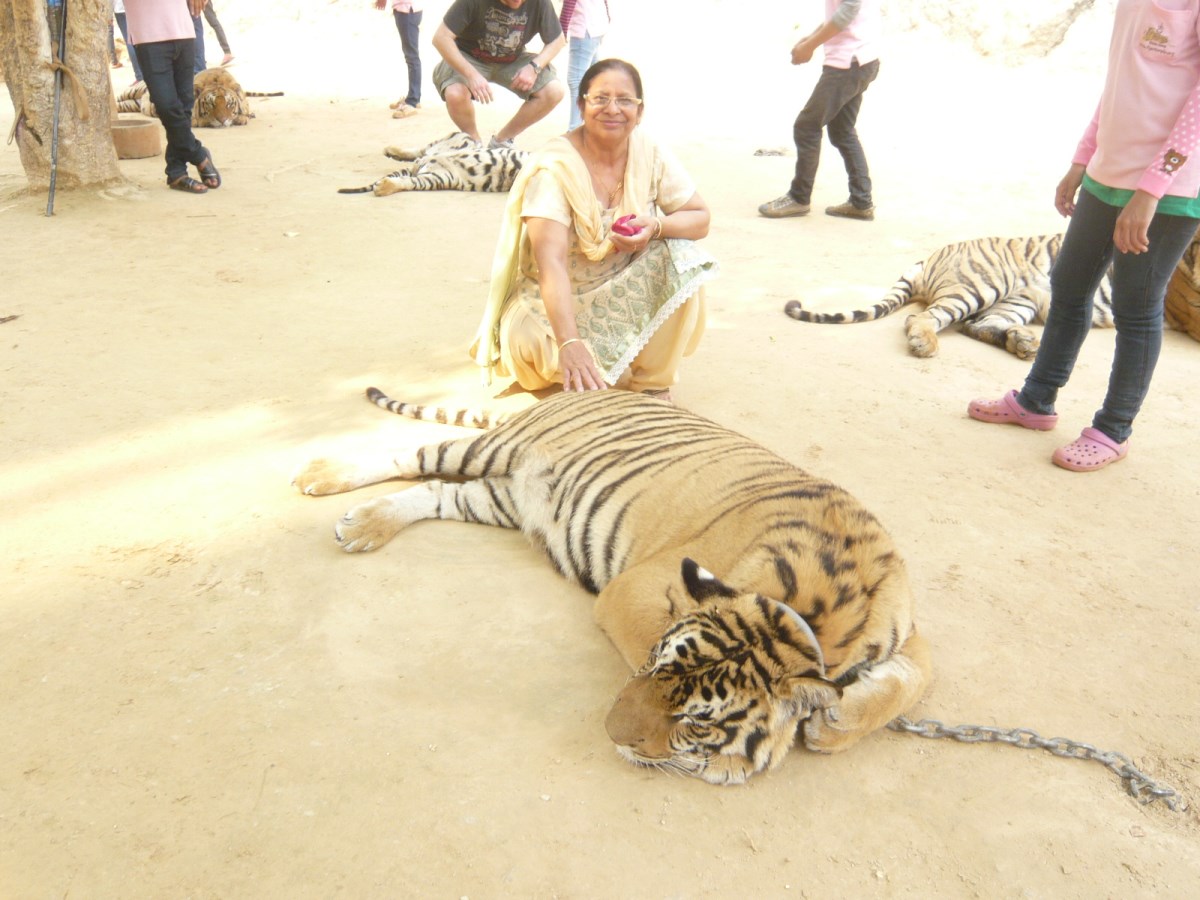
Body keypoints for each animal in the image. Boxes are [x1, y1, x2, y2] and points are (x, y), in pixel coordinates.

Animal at [114, 67, 283, 127]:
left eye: (229, 104)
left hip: (132, 104)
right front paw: (196, 121)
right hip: (131, 92)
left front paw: (242, 118)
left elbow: (244, 112)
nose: (222, 121)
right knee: (117, 99)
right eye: (211, 104)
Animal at [295, 391, 931, 787]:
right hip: (492, 450)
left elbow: (917, 678)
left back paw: (367, 524)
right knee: (409, 454)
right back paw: (322, 479)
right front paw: (754, 753)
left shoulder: (907, 628)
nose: (608, 734)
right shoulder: (636, 586)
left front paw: (838, 721)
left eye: (699, 721)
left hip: (502, 496)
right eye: (655, 664)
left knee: (434, 491)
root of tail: (580, 389)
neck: (812, 612)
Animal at [336, 131, 528, 196]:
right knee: (422, 150)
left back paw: (382, 187)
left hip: (439, 178)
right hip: (461, 138)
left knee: (410, 180)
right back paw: (390, 150)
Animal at [787, 236, 1113, 360]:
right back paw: (925, 344)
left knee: (978, 325)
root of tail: (931, 256)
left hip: (1021, 299)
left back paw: (1023, 342)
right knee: (922, 316)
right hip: (978, 286)